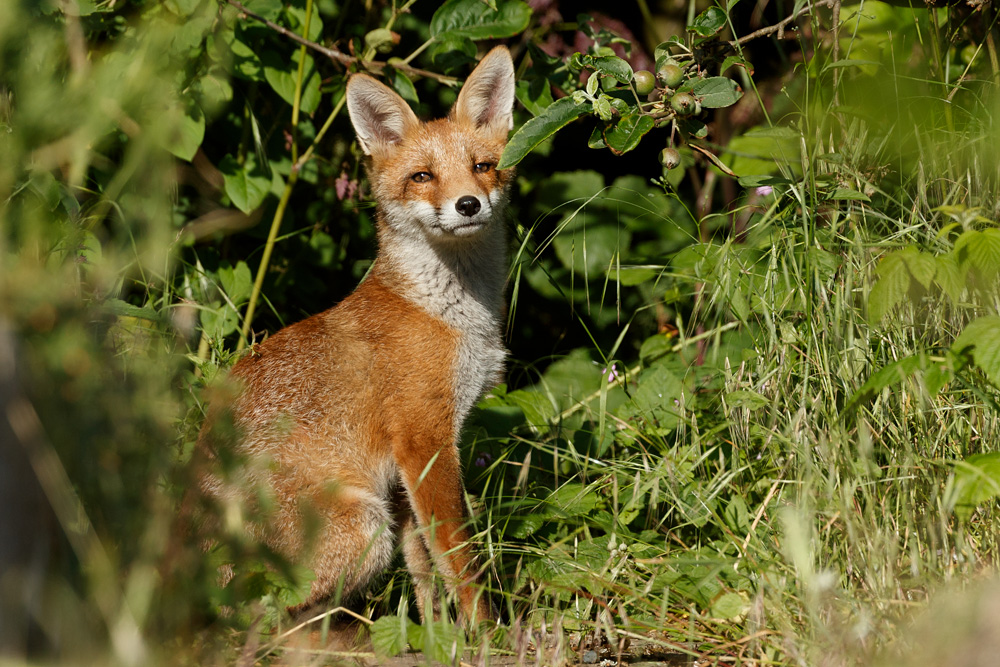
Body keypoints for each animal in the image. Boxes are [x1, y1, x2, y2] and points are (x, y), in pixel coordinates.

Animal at [199, 46, 516, 626]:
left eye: (482, 167)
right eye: (422, 176)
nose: (467, 205)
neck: (446, 313)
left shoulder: (405, 471)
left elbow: (423, 568)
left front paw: (437, 635)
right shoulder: (424, 440)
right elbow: (460, 561)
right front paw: (487, 633)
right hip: (363, 526)